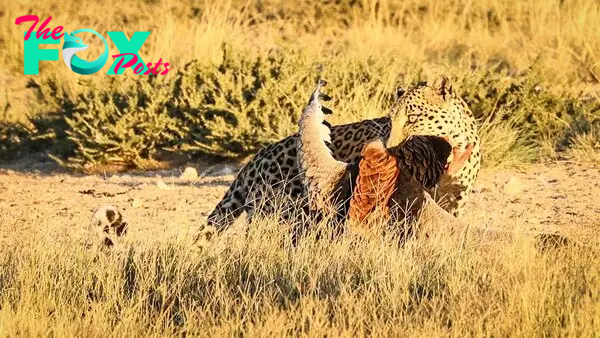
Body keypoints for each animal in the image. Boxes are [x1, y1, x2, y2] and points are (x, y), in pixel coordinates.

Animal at [206, 74, 482, 232]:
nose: (392, 147)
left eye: (413, 117)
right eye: (391, 119)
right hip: (280, 212)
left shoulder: (452, 203)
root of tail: (258, 156)